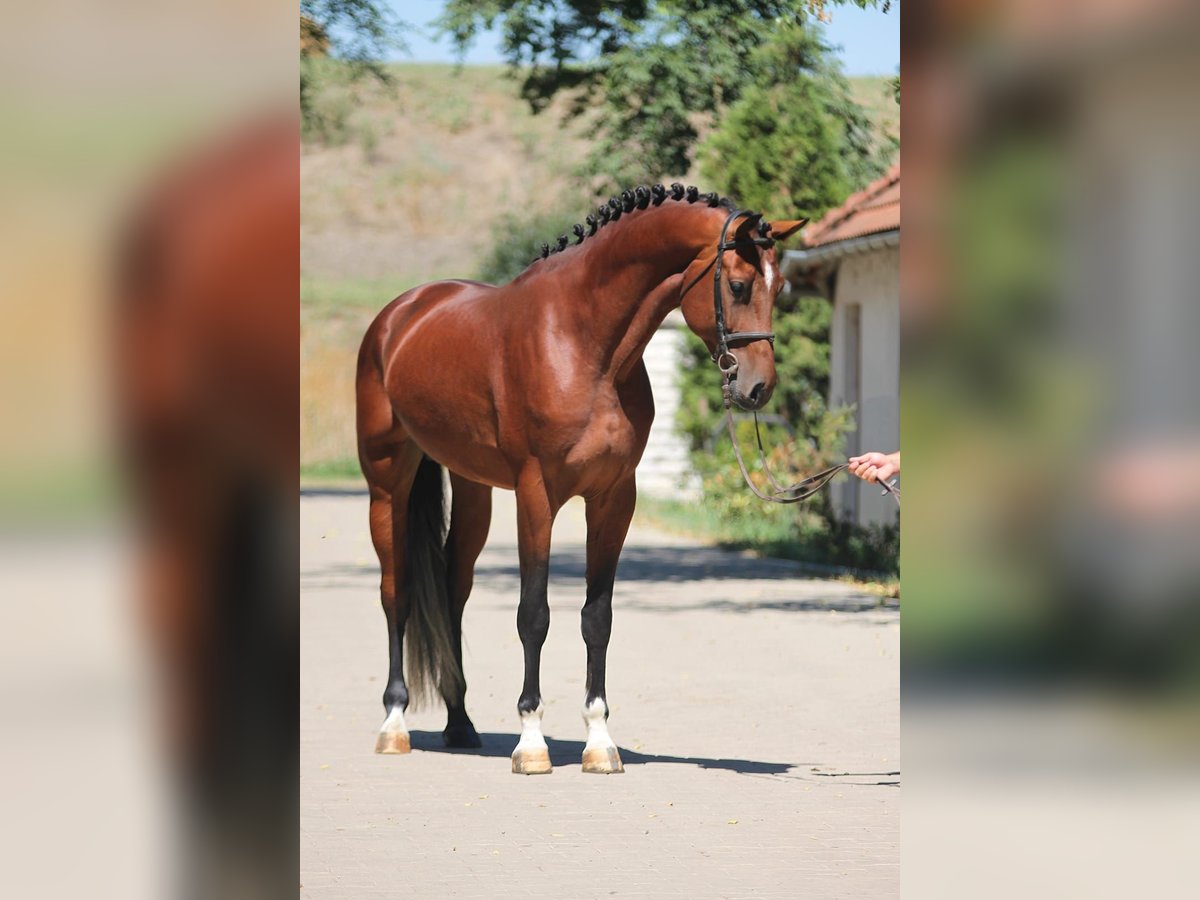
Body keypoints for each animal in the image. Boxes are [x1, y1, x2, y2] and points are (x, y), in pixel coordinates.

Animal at [355, 183, 806, 777]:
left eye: (781, 287)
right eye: (737, 284)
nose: (757, 388)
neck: (585, 345)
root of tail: (398, 315)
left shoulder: (613, 499)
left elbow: (598, 617)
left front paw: (599, 741)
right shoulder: (536, 494)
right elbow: (534, 614)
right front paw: (531, 744)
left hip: (473, 488)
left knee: (454, 590)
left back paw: (460, 724)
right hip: (387, 482)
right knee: (397, 593)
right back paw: (393, 725)